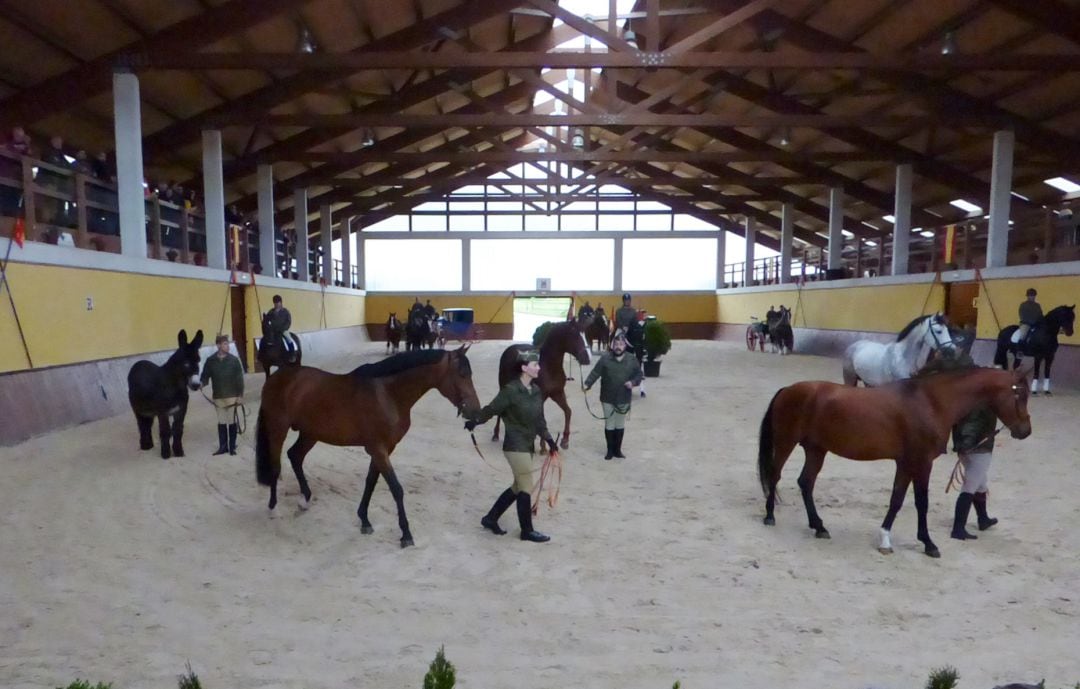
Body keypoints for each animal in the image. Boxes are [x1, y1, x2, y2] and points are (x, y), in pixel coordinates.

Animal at [127, 332, 203, 462]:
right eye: (186, 363)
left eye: (198, 361)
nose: (196, 385)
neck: (176, 386)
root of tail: (139, 363)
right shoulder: (162, 412)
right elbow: (165, 431)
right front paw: (166, 454)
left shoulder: (181, 410)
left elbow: (178, 430)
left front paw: (178, 452)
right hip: (138, 408)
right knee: (142, 425)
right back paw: (145, 446)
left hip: (150, 411)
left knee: (147, 425)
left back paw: (150, 444)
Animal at [254, 347, 479, 548]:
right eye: (461, 374)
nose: (475, 412)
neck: (388, 394)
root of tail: (277, 377)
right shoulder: (378, 449)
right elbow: (396, 489)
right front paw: (406, 534)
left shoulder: (384, 449)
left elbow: (371, 481)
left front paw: (364, 520)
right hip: (278, 429)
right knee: (276, 465)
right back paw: (273, 508)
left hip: (310, 434)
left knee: (295, 456)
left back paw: (304, 500)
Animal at [494, 321, 596, 451]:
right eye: (575, 336)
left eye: (585, 335)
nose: (587, 358)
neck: (548, 367)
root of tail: (509, 349)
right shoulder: (541, 397)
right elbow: (542, 418)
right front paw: (544, 447)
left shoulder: (557, 393)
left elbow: (568, 411)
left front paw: (565, 441)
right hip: (503, 387)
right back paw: (496, 435)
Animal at [756, 369, 1032, 557]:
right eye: (1019, 395)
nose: (1025, 431)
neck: (932, 402)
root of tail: (788, 389)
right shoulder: (921, 463)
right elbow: (921, 503)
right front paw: (929, 543)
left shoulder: (905, 463)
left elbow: (897, 499)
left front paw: (885, 539)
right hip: (786, 442)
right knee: (775, 475)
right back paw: (770, 516)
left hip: (816, 450)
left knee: (806, 483)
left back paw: (819, 526)